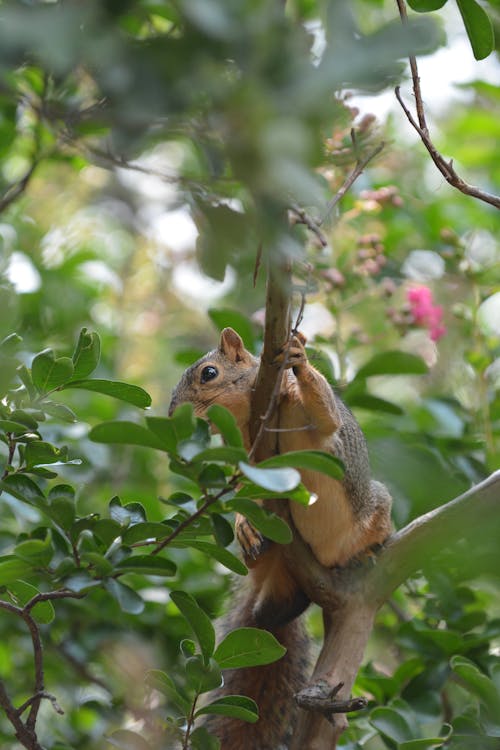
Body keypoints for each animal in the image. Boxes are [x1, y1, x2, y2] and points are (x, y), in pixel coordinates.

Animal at [170, 328, 392, 750]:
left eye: (209, 373)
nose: (175, 416)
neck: (251, 415)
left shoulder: (303, 414)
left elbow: (326, 415)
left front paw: (299, 358)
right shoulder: (247, 453)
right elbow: (245, 488)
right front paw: (243, 520)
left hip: (374, 509)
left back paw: (367, 551)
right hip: (277, 578)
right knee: (268, 611)